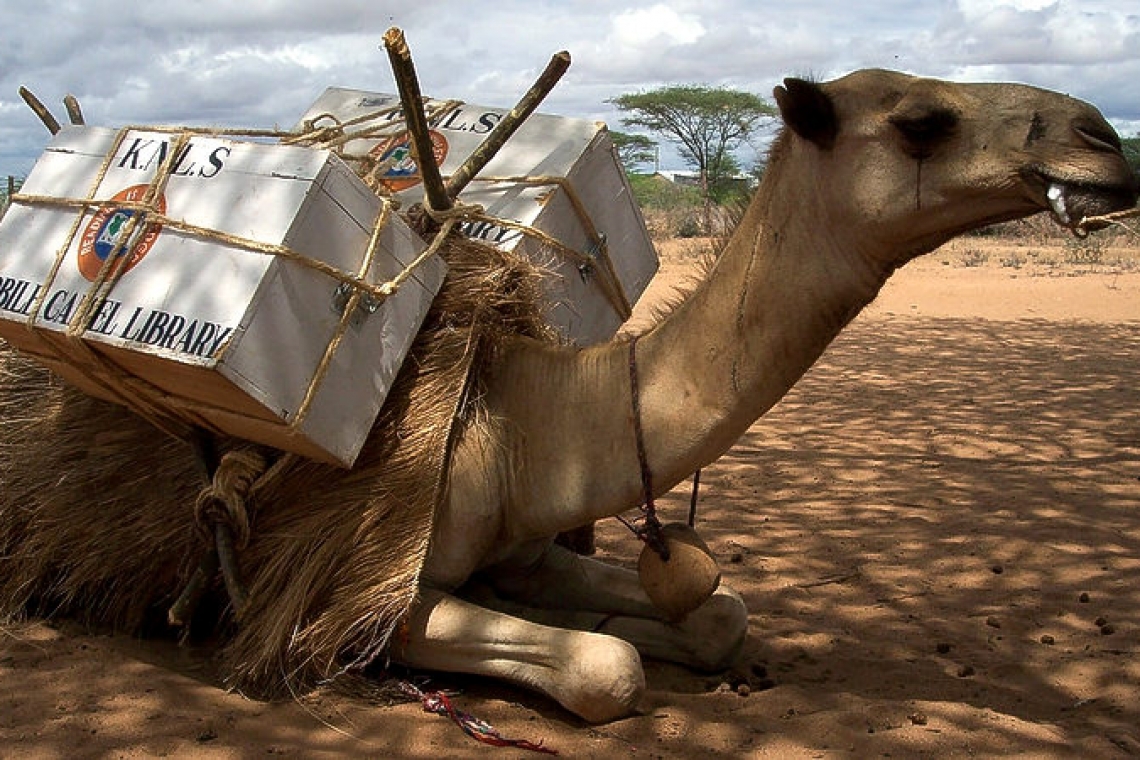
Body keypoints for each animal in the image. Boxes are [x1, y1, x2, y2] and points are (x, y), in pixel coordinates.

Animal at [0, 69, 1135, 724]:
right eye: (922, 121)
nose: (1103, 140)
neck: (520, 415)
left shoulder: (527, 541)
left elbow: (715, 615)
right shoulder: (350, 589)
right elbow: (605, 670)